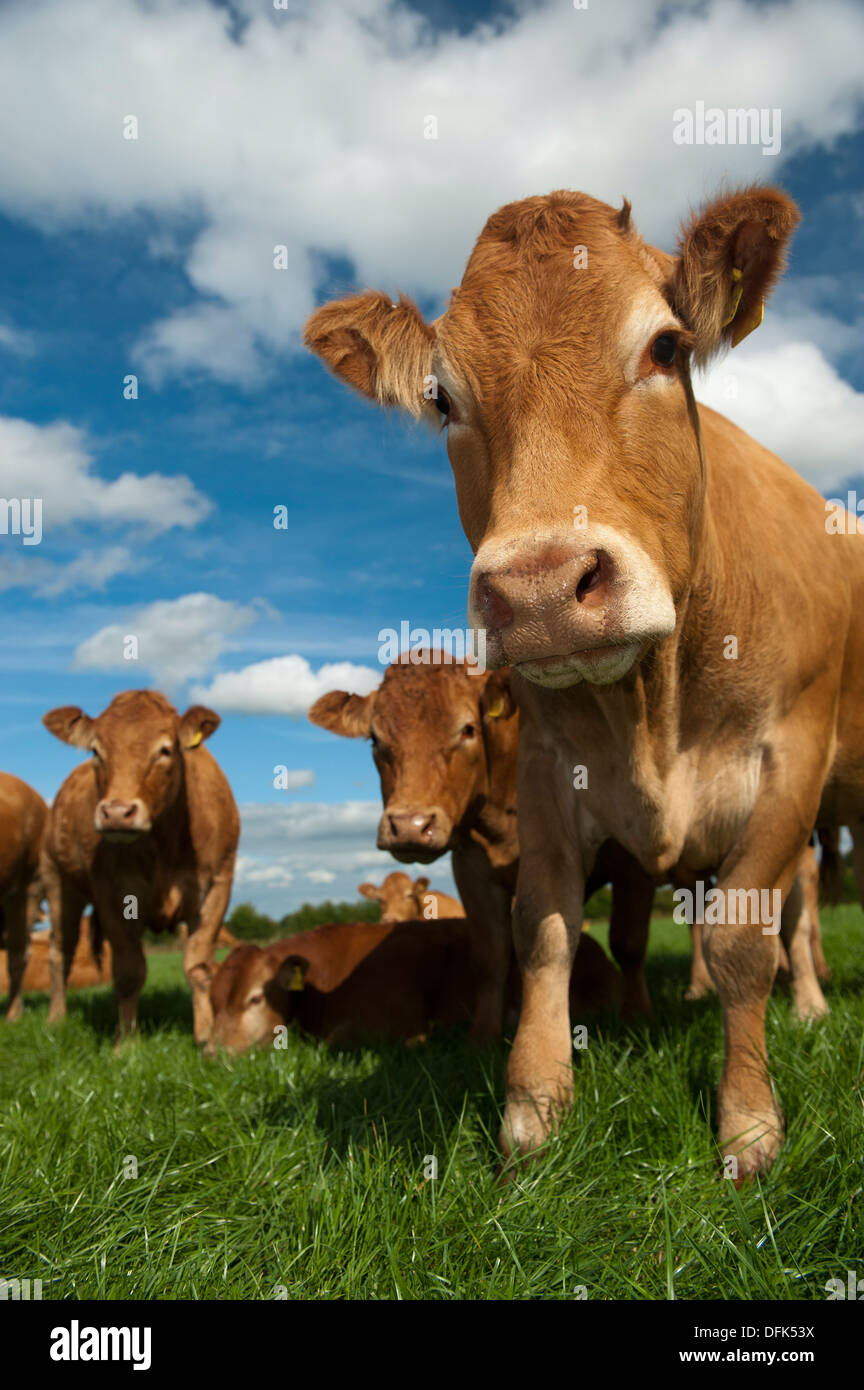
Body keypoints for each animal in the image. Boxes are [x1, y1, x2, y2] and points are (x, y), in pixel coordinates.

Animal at [41, 691, 240, 1043]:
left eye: (165, 750)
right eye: (96, 750)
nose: (117, 813)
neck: (165, 845)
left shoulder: (218, 885)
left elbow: (198, 965)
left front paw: (206, 1036)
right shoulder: (111, 894)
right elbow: (129, 972)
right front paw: (125, 1043)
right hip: (58, 883)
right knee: (60, 952)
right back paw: (56, 1019)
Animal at [304, 184, 864, 1180]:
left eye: (667, 347)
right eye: (441, 397)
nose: (539, 589)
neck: (656, 705)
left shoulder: (790, 760)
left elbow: (743, 938)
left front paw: (749, 1123)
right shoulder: (546, 771)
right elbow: (543, 933)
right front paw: (533, 1108)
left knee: (796, 923)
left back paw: (808, 1005)